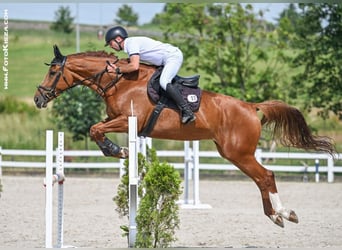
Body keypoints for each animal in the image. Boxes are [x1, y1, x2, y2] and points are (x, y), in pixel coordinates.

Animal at [35, 45, 336, 229]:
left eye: (53, 71)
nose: (38, 98)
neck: (118, 81)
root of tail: (251, 107)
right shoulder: (116, 120)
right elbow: (95, 128)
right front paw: (115, 150)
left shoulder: (129, 120)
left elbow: (95, 129)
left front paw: (116, 150)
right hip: (232, 153)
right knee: (261, 179)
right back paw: (275, 216)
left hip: (238, 152)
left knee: (266, 176)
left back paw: (282, 214)